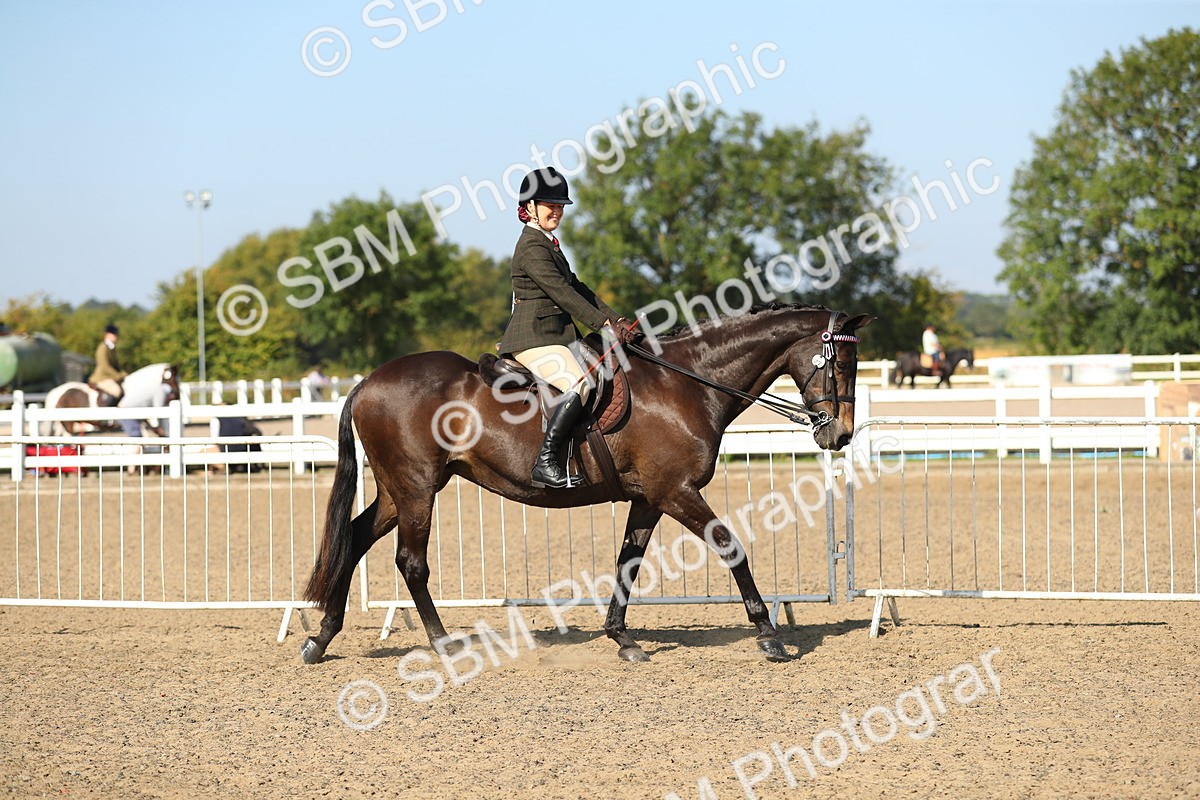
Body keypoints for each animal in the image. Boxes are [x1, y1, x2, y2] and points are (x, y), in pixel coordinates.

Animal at [301, 304, 873, 665]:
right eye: (841, 363)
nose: (840, 434)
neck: (686, 383)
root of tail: (368, 381)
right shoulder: (677, 491)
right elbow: (732, 548)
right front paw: (769, 637)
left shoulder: (650, 498)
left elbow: (628, 562)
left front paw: (622, 638)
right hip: (418, 488)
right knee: (410, 562)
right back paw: (443, 645)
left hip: (398, 490)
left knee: (354, 539)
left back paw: (320, 639)